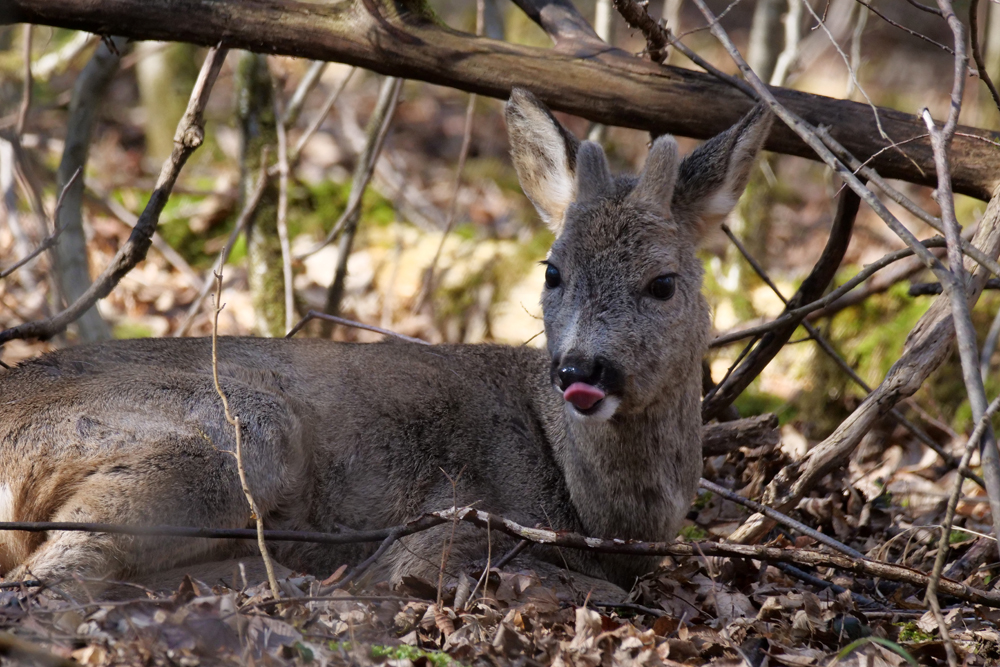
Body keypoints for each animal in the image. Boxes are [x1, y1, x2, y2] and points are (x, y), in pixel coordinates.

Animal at [0, 88, 772, 596]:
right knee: (52, 576)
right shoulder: (459, 524)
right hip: (242, 430)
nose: (581, 367)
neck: (606, 516)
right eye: (552, 271)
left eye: (663, 283)